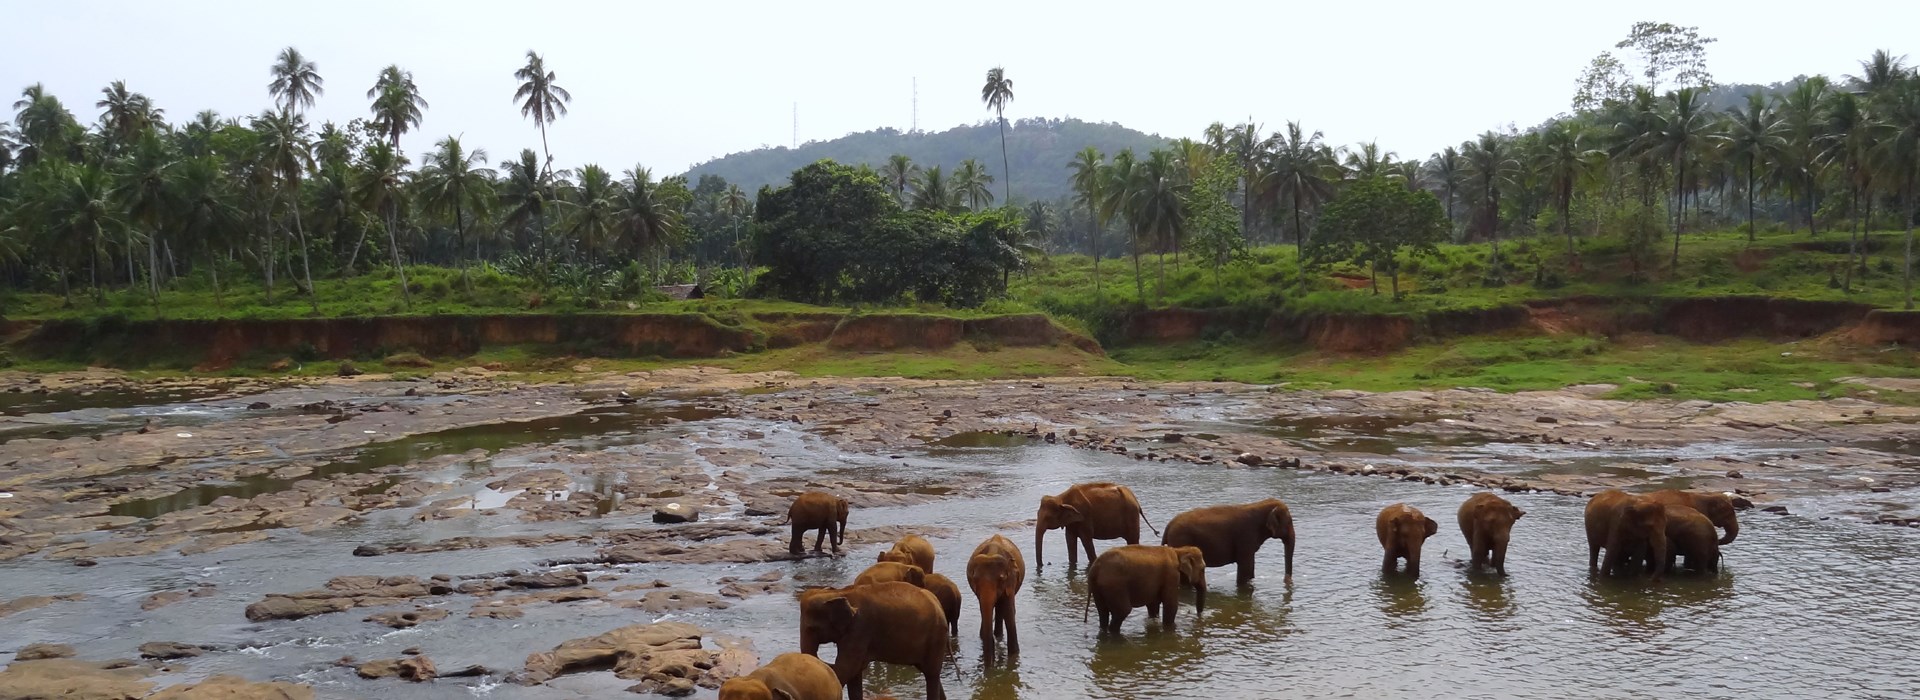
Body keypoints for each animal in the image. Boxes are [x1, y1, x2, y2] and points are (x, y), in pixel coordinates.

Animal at [794, 579, 944, 698]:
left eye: (812, 628)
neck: (840, 592)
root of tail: (938, 603)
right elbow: (854, 673)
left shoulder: (860, 628)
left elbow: (846, 668)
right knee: (933, 676)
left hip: (935, 637)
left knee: (931, 674)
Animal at [1159, 494, 1297, 583]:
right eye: (1289, 522)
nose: (1287, 581)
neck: (1260, 503)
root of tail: (1168, 525)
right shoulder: (1246, 536)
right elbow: (1246, 567)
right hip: (1181, 540)